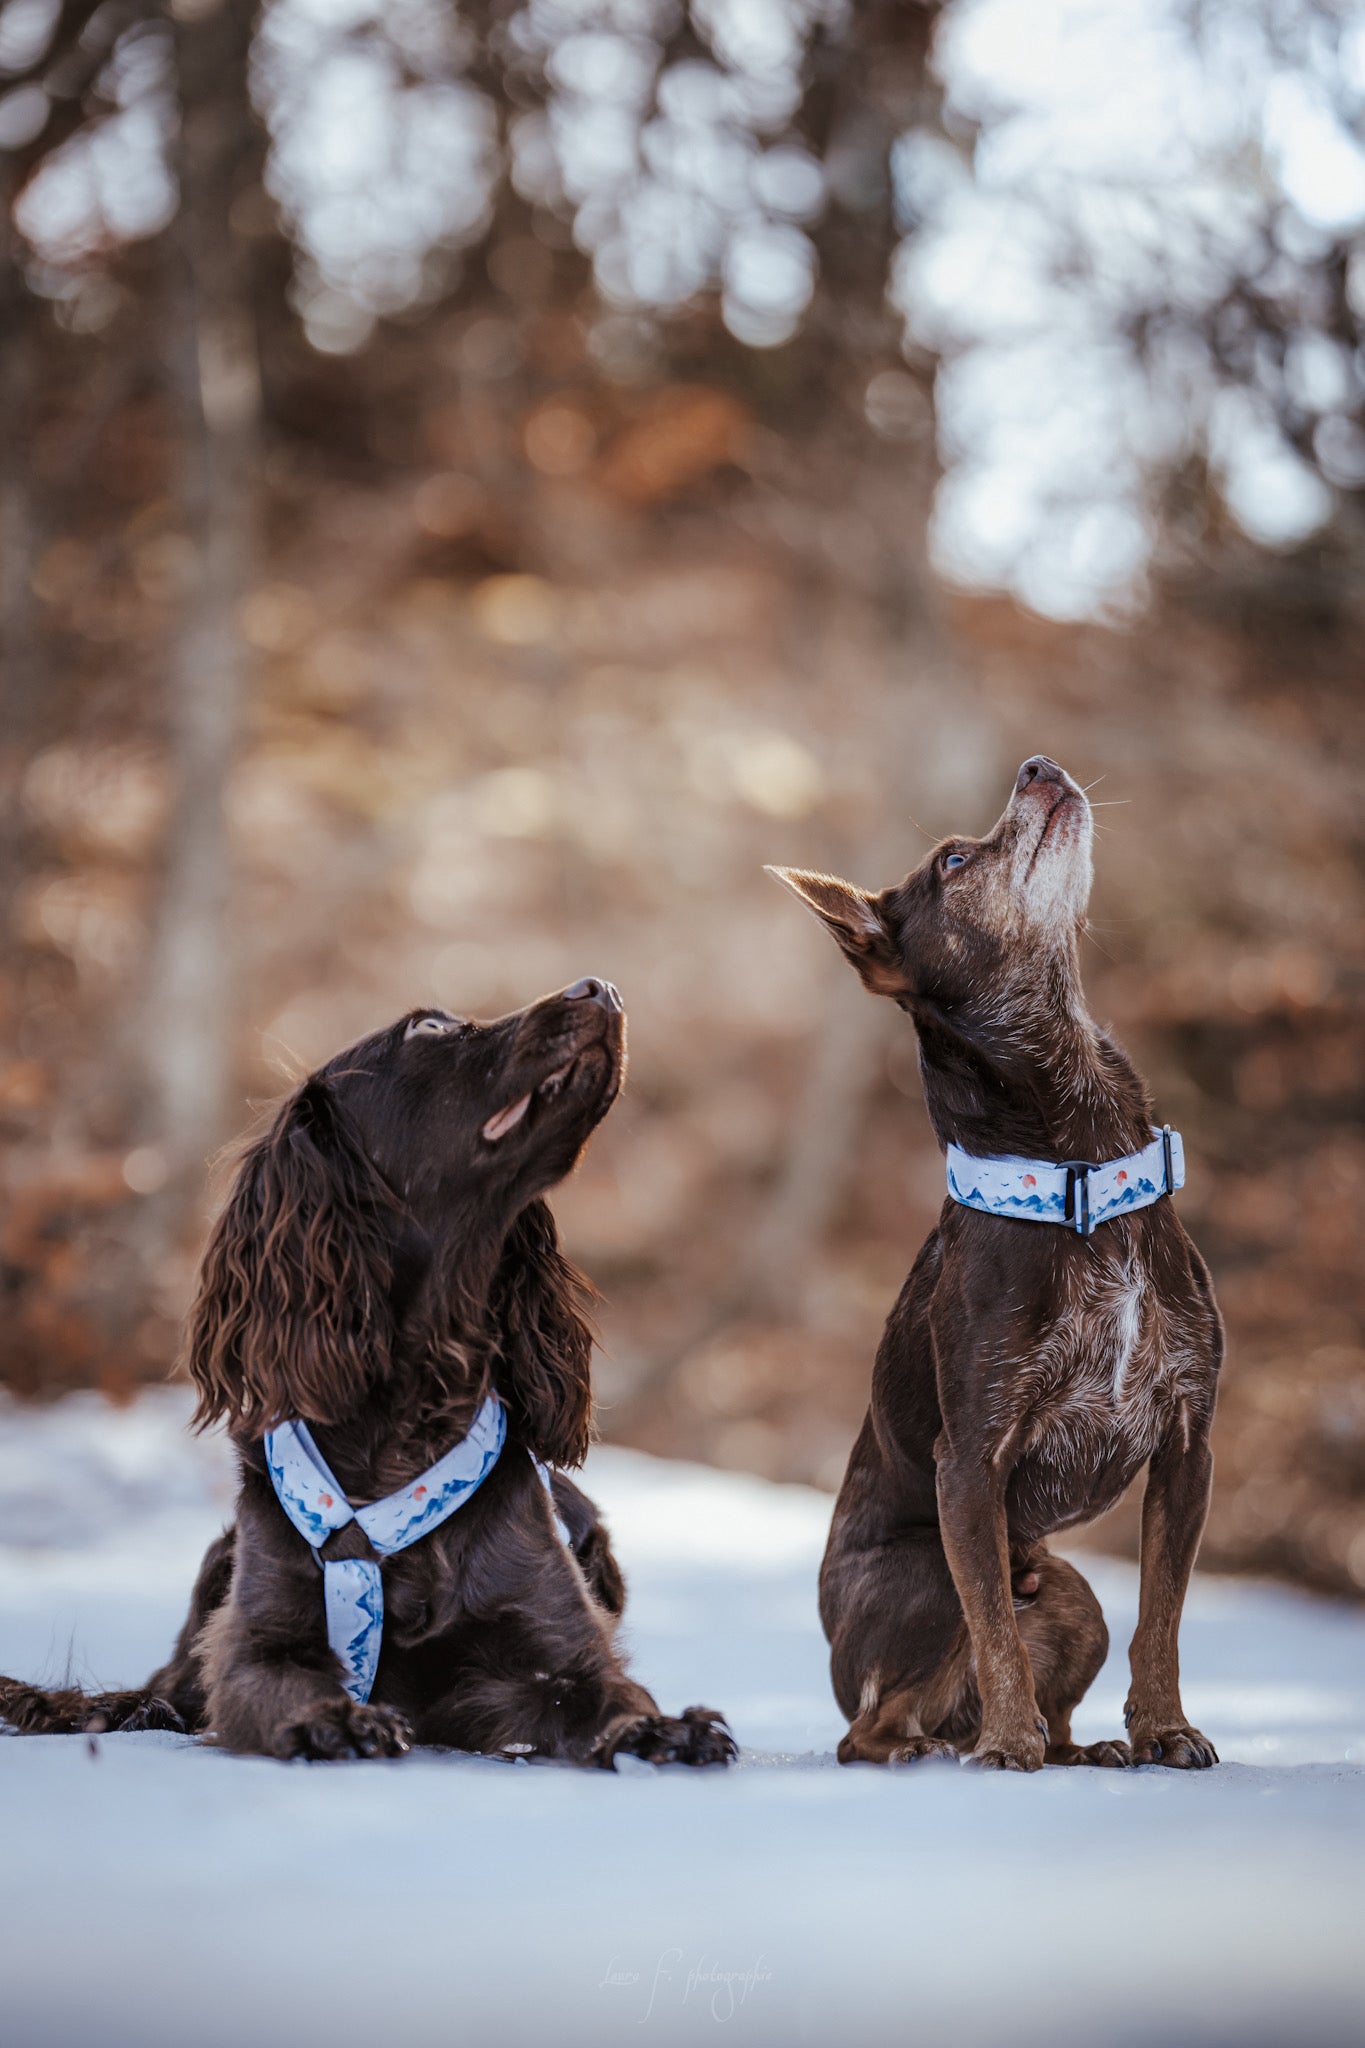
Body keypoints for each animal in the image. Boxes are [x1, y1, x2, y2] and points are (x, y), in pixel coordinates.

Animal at [773, 761, 1219, 1769]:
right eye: (950, 859)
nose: (1038, 766)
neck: (1079, 1171)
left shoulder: (1187, 1443)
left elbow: (1162, 1618)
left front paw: (1165, 1727)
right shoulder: (970, 1463)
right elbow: (994, 1634)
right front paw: (1006, 1745)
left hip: (1068, 1589)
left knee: (1041, 1673)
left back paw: (1077, 1748)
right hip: (930, 1574)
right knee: (873, 1723)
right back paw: (948, 1746)